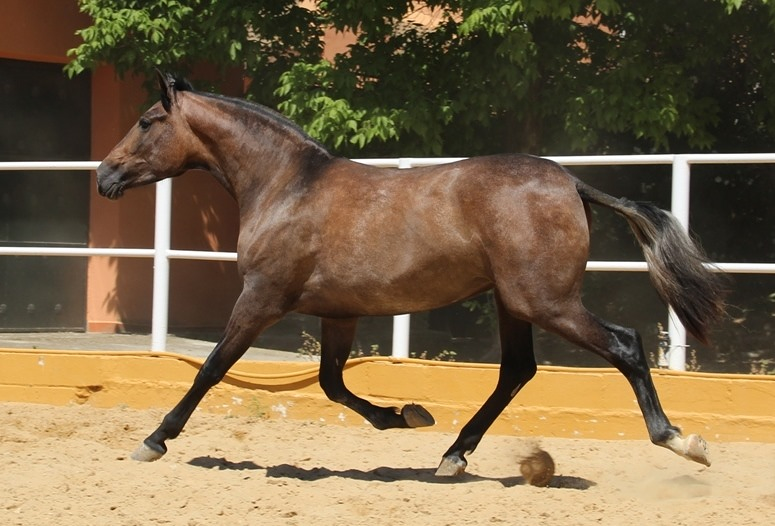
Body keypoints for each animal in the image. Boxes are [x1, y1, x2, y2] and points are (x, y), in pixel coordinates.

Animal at [97, 71, 725, 476]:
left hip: (547, 301)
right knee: (516, 371)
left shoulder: (261, 299)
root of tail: (572, 182)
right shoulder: (338, 313)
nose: (104, 175)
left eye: (147, 120)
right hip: (513, 303)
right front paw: (406, 415)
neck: (285, 186)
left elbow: (211, 369)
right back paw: (452, 454)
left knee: (625, 345)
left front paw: (153, 441)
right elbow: (331, 384)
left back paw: (680, 440)